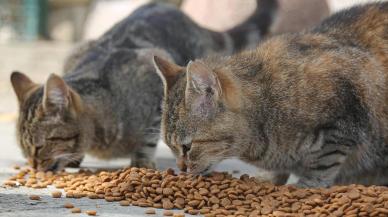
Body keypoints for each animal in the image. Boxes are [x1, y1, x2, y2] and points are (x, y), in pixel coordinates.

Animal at [10, 1, 278, 171]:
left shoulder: (155, 89)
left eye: (39, 147)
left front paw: (141, 161)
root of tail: (194, 23)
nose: (33, 167)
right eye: (24, 151)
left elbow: (148, 136)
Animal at [154, 1, 388, 187]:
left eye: (187, 147)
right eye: (170, 147)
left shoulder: (342, 126)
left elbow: (320, 168)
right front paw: (267, 180)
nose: (181, 169)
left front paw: (303, 189)